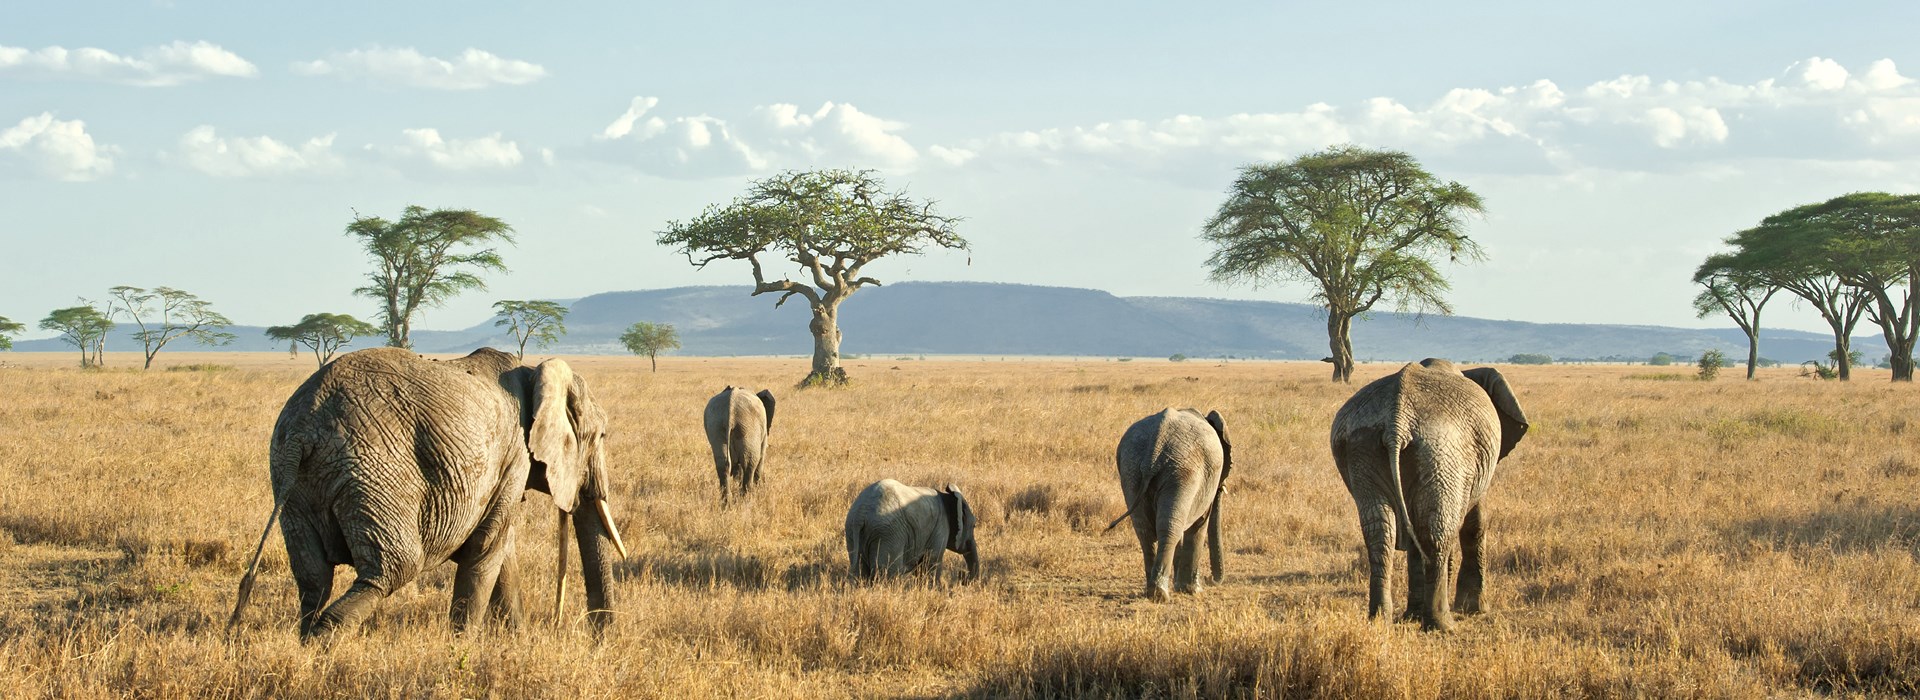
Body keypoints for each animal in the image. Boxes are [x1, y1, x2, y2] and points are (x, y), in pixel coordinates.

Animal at [228, 345, 625, 636]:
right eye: (601, 435)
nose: (598, 637)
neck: (534, 373)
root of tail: (303, 429)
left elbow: (501, 550)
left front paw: (516, 641)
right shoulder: (514, 455)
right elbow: (486, 549)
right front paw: (462, 646)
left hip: (292, 481)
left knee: (314, 579)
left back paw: (305, 643)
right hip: (375, 472)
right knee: (393, 568)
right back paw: (323, 645)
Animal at [848, 477, 983, 579]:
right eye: (974, 526)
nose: (963, 577)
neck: (949, 496)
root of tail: (861, 511)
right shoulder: (940, 527)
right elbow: (931, 561)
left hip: (853, 531)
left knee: (860, 570)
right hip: (887, 532)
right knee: (887, 571)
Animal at [1105, 408, 1236, 598]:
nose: (1210, 579)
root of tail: (1155, 448)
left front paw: (1182, 587)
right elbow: (1199, 525)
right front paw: (1193, 590)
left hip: (1131, 469)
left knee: (1145, 530)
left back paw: (1151, 592)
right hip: (1182, 472)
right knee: (1169, 528)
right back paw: (1160, 594)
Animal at [1336, 356, 1528, 629]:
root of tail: (1396, 422)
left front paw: (1412, 616)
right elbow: (1475, 522)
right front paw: (1475, 610)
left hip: (1364, 446)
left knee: (1380, 532)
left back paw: (1380, 621)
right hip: (1440, 451)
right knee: (1436, 532)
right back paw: (1442, 625)